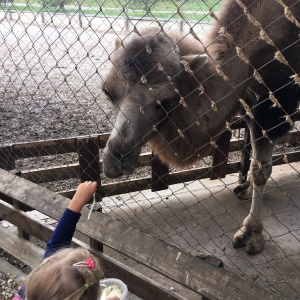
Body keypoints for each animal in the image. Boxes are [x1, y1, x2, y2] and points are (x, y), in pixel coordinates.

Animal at [102, 0, 300, 253]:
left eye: (166, 102)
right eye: (108, 92)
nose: (116, 159)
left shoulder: (277, 103)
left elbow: (261, 170)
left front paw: (252, 233)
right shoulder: (251, 101)